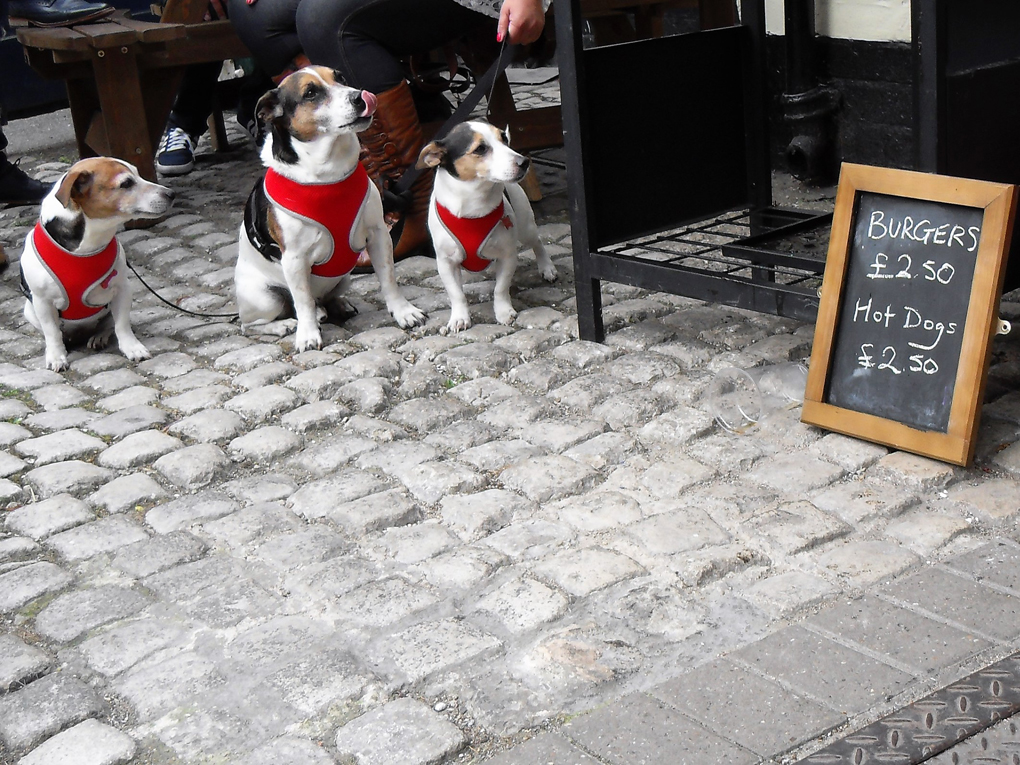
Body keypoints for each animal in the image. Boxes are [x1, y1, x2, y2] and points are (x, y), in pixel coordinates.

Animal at [19, 159, 175, 371]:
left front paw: (132, 347)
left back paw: (99, 336)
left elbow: (122, 325)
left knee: (108, 325)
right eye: (126, 183)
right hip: (30, 310)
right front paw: (56, 356)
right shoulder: (42, 301)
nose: (171, 193)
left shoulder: (122, 290)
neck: (87, 246)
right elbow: (52, 332)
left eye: (138, 174)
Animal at [416, 121, 558, 334]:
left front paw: (503, 312)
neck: (473, 206)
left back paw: (547, 267)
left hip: (526, 227)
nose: (524, 161)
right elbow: (456, 294)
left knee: (538, 243)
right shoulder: (446, 263)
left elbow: (500, 288)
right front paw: (459, 317)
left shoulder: (508, 256)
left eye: (504, 139)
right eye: (480, 149)